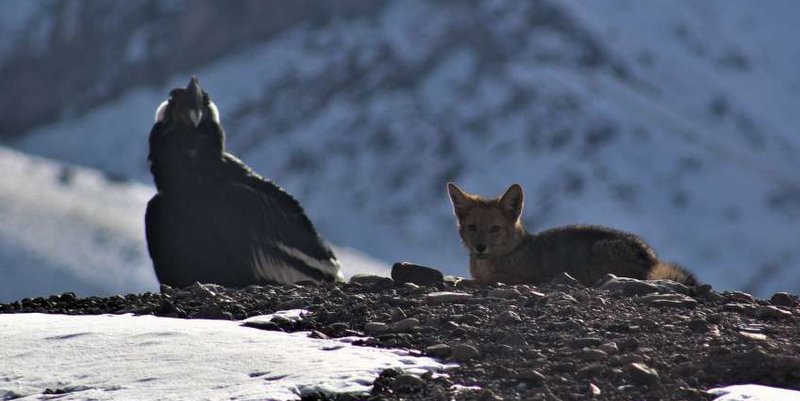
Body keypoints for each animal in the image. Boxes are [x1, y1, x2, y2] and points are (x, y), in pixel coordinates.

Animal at [447, 182, 697, 287]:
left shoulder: (530, 278)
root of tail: (650, 258)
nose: (480, 247)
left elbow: (490, 279)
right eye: (472, 227)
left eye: (495, 229)